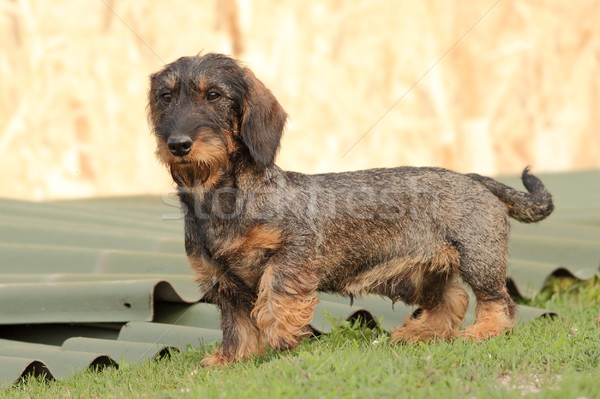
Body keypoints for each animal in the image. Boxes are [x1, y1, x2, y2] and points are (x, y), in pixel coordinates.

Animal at [148, 54, 556, 368]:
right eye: (165, 97)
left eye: (214, 94)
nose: (178, 144)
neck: (222, 199)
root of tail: (471, 177)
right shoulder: (223, 281)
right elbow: (237, 325)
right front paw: (231, 359)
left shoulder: (296, 249)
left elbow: (276, 288)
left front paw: (281, 330)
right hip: (422, 274)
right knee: (451, 300)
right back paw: (421, 332)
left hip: (479, 258)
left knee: (498, 302)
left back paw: (484, 330)